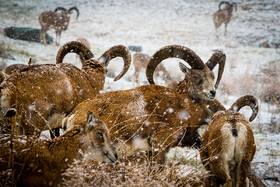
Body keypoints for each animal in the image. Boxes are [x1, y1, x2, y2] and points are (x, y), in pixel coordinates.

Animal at [62, 44, 226, 164]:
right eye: (196, 77)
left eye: (212, 76)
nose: (212, 92)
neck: (181, 105)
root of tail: (72, 116)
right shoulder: (160, 145)